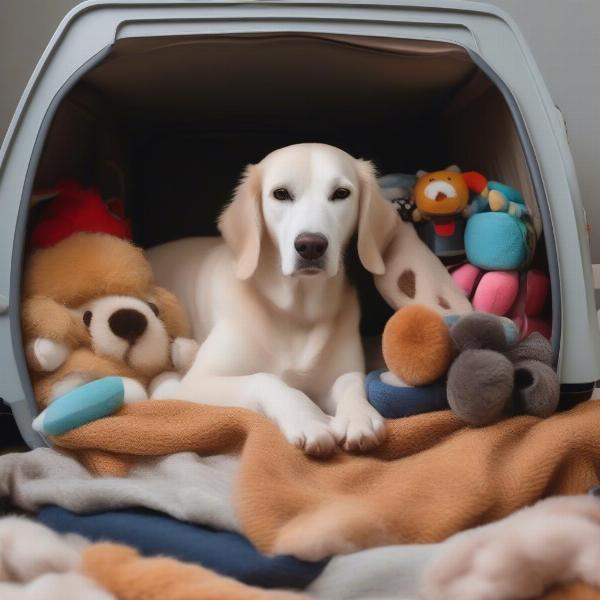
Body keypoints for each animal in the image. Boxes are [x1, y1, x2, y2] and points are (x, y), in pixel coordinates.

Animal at [146, 144, 398, 454]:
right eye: (281, 193)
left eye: (341, 193)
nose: (310, 245)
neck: (296, 312)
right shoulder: (197, 382)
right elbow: (266, 379)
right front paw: (307, 417)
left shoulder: (342, 372)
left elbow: (352, 384)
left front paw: (358, 415)